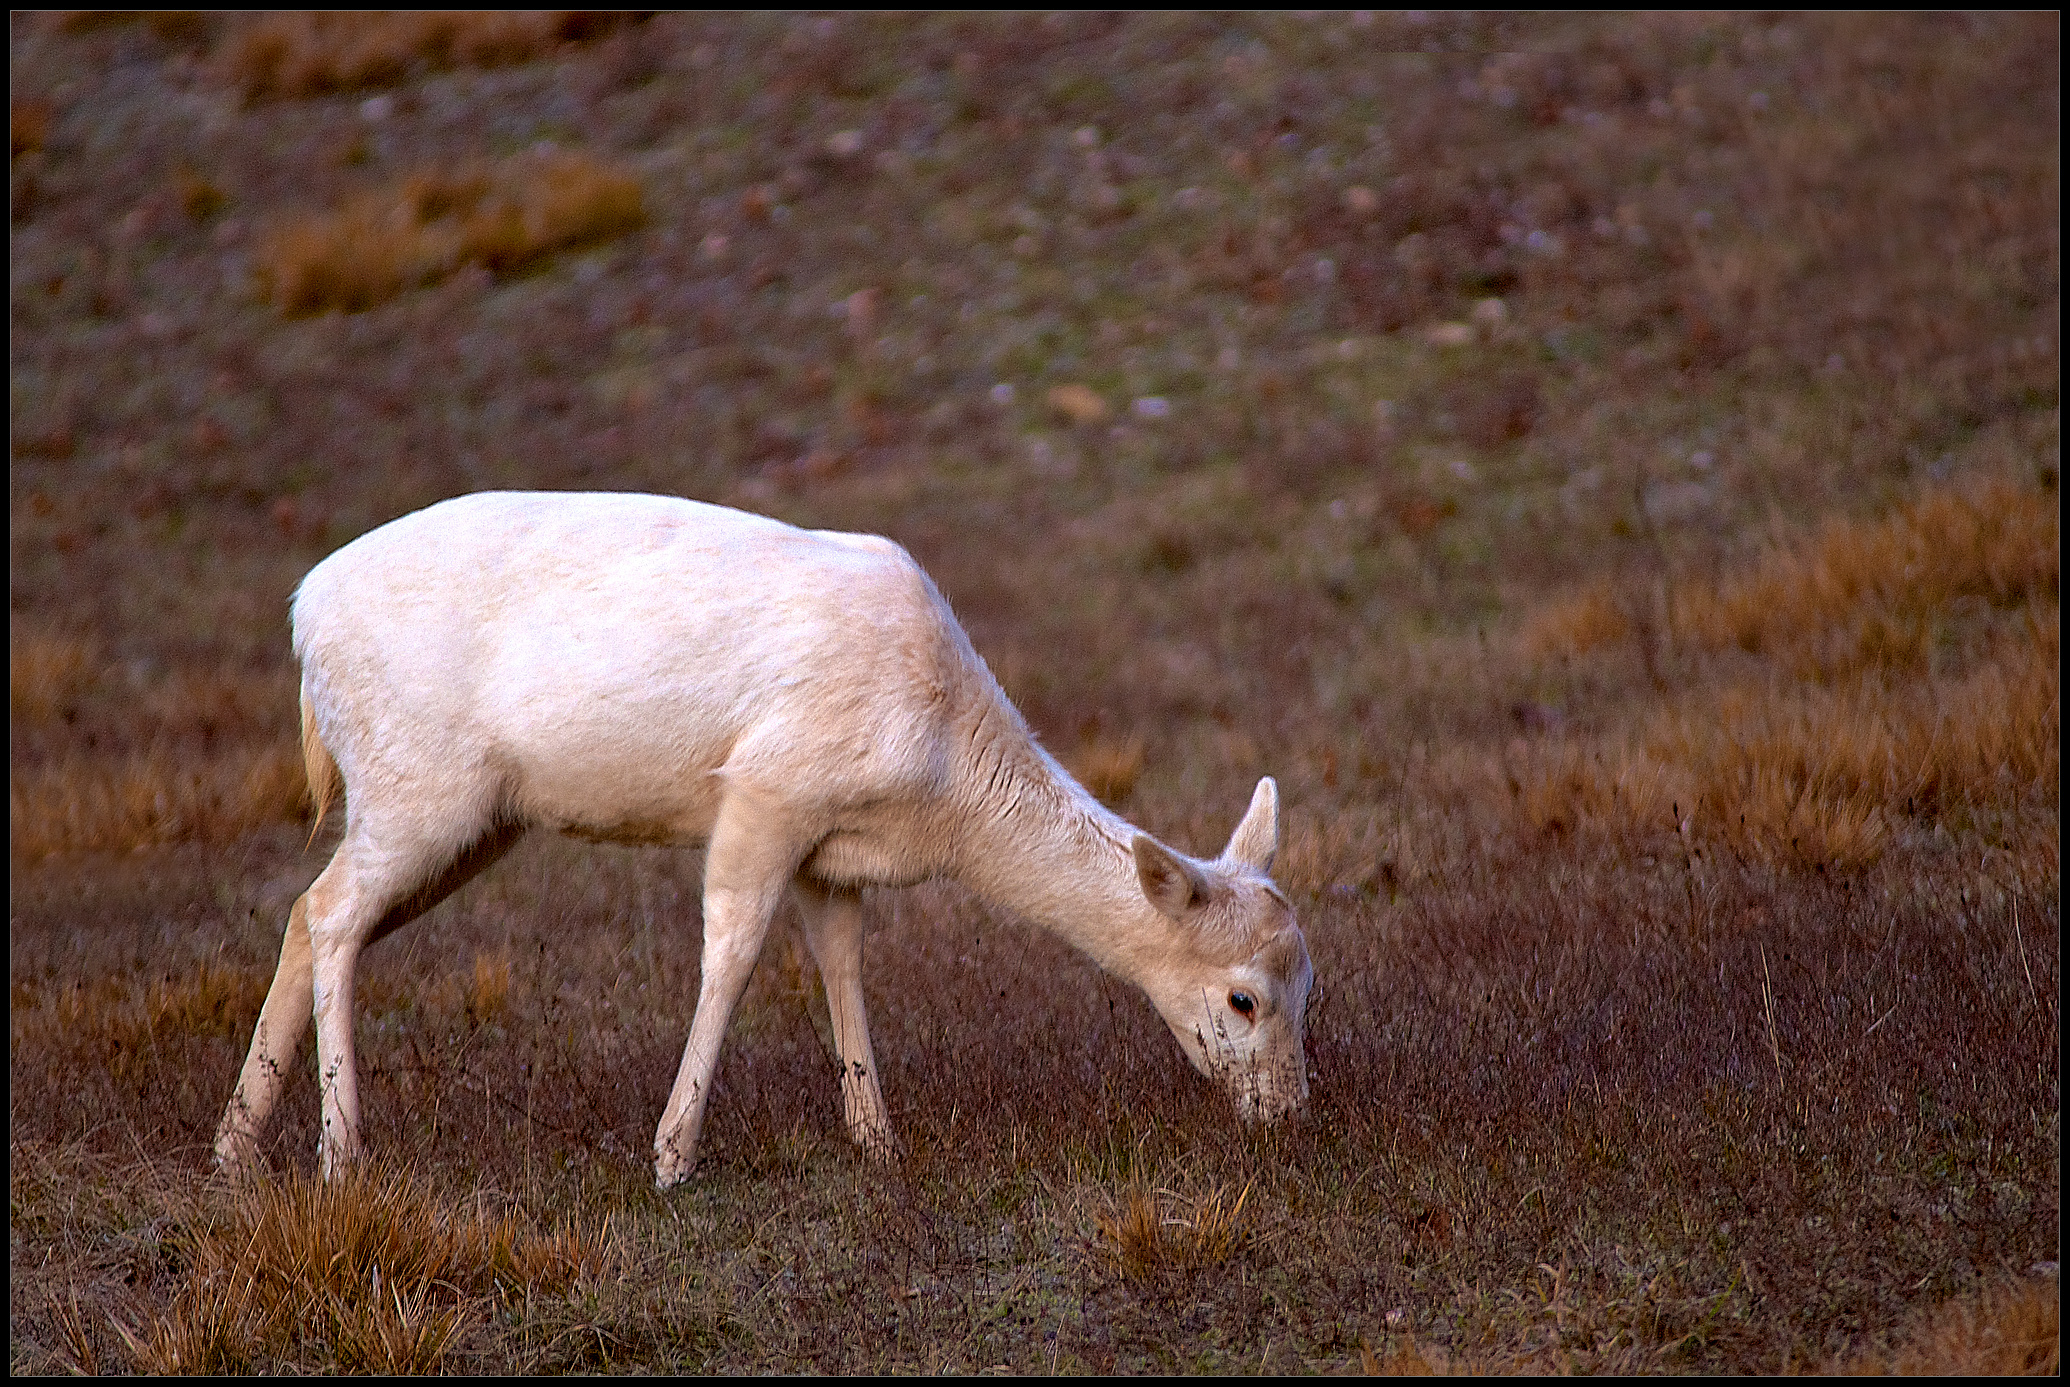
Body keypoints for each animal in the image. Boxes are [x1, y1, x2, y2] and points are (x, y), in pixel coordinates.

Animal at [213, 490, 1313, 1189]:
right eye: (1243, 996)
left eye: (1312, 983)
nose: (1292, 1114)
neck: (942, 784)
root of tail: (303, 619)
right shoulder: (767, 791)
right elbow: (732, 953)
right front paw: (671, 1155)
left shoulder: (833, 851)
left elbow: (842, 965)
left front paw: (878, 1143)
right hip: (419, 787)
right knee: (334, 913)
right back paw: (341, 1153)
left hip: (465, 818)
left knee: (308, 912)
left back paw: (235, 1147)